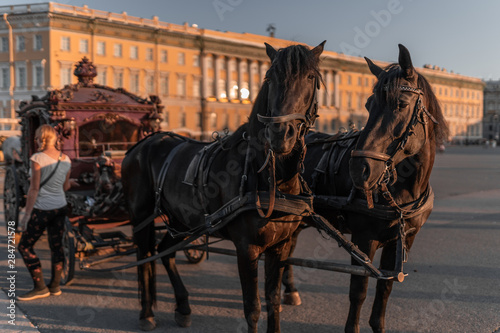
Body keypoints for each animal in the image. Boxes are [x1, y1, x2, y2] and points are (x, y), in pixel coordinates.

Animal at [120, 40, 324, 330]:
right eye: (269, 77)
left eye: (310, 77)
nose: (280, 135)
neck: (272, 180)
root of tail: (141, 143)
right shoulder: (247, 249)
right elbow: (253, 308)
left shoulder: (280, 246)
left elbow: (273, 302)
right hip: (141, 216)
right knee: (143, 256)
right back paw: (147, 312)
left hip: (180, 219)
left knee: (164, 252)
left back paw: (183, 306)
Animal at [282, 44, 450, 332]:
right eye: (368, 105)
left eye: (401, 104)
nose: (359, 168)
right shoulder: (364, 238)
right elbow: (358, 290)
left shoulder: (404, 239)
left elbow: (385, 288)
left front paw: (378, 325)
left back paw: (290, 291)